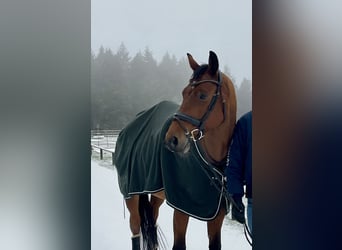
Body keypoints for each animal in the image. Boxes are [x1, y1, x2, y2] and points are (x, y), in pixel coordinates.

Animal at [113, 51, 236, 250]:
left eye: (203, 95)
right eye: (184, 93)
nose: (172, 140)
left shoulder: (216, 217)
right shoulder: (180, 210)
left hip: (156, 195)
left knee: (152, 222)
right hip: (131, 194)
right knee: (135, 228)